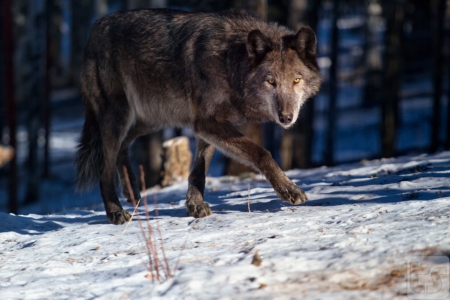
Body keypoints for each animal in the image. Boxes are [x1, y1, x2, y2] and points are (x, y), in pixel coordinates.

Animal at [74, 8, 320, 225]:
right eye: (271, 82)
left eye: (296, 80)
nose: (286, 118)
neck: (230, 61)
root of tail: (94, 29)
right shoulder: (206, 123)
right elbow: (261, 153)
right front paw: (289, 189)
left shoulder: (207, 125)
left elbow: (198, 169)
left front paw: (194, 205)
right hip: (120, 118)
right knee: (105, 166)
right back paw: (115, 212)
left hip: (152, 119)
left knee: (122, 148)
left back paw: (132, 192)